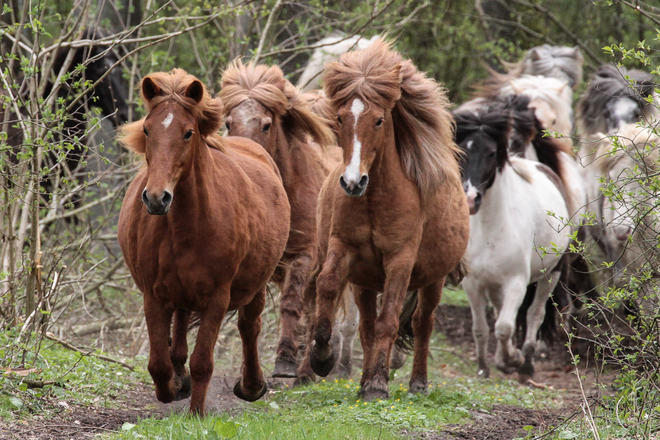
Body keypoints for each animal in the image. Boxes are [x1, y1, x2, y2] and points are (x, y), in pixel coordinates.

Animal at [116, 67, 292, 414]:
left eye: (188, 133)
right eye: (147, 130)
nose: (156, 198)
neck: (185, 227)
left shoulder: (217, 298)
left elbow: (203, 363)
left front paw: (196, 413)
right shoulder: (153, 296)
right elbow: (158, 363)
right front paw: (173, 385)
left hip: (255, 282)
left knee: (249, 326)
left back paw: (251, 386)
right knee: (182, 323)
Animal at [219, 60, 338, 384]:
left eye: (266, 124)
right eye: (228, 123)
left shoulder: (303, 256)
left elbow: (290, 303)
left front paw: (285, 360)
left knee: (314, 312)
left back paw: (307, 370)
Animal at [310, 39, 470, 400]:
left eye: (379, 121)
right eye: (339, 118)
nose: (353, 182)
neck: (374, 201)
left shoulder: (400, 260)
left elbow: (390, 321)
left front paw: (379, 384)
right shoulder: (342, 247)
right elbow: (327, 285)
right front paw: (322, 357)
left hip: (432, 280)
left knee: (423, 322)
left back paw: (417, 383)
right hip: (364, 281)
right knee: (367, 325)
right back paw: (362, 378)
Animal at [454, 103, 572, 382]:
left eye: (491, 152)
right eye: (463, 151)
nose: (471, 199)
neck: (489, 229)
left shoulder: (516, 282)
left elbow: (505, 327)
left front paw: (512, 360)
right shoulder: (472, 283)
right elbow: (481, 328)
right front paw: (484, 367)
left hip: (551, 275)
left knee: (534, 315)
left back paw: (526, 364)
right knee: (501, 313)